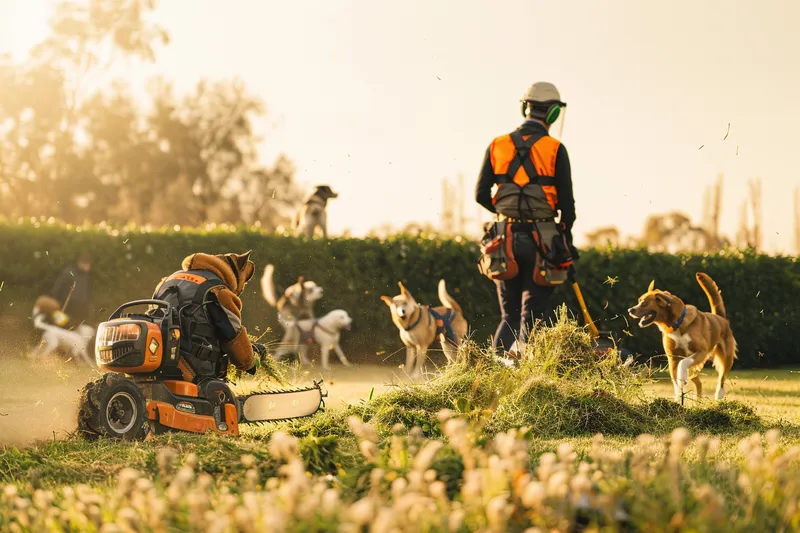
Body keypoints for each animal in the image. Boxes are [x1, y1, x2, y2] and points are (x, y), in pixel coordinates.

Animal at [624, 272, 736, 402]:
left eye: (644, 303)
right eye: (639, 301)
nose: (630, 310)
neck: (676, 324)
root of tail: (720, 318)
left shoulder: (701, 351)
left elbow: (683, 363)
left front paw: (682, 376)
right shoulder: (673, 359)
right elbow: (676, 383)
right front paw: (677, 401)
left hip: (726, 358)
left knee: (722, 376)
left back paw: (719, 394)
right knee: (698, 383)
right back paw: (698, 401)